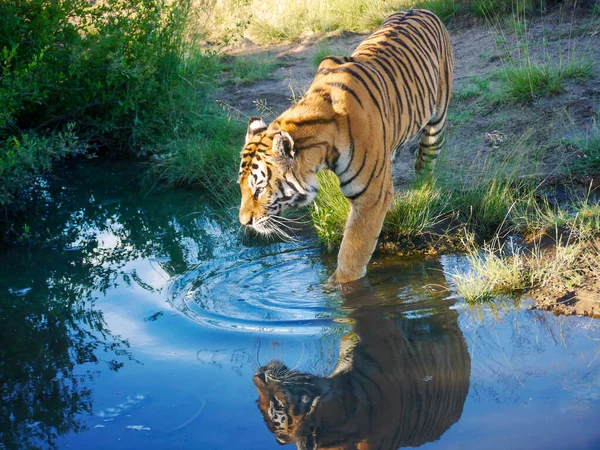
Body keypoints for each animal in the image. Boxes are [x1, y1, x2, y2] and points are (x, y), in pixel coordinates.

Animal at [237, 9, 452, 282]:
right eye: (242, 187)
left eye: (259, 189)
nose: (244, 222)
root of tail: (421, 9)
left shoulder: (370, 197)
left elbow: (351, 254)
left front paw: (338, 287)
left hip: (437, 119)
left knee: (426, 160)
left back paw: (424, 191)